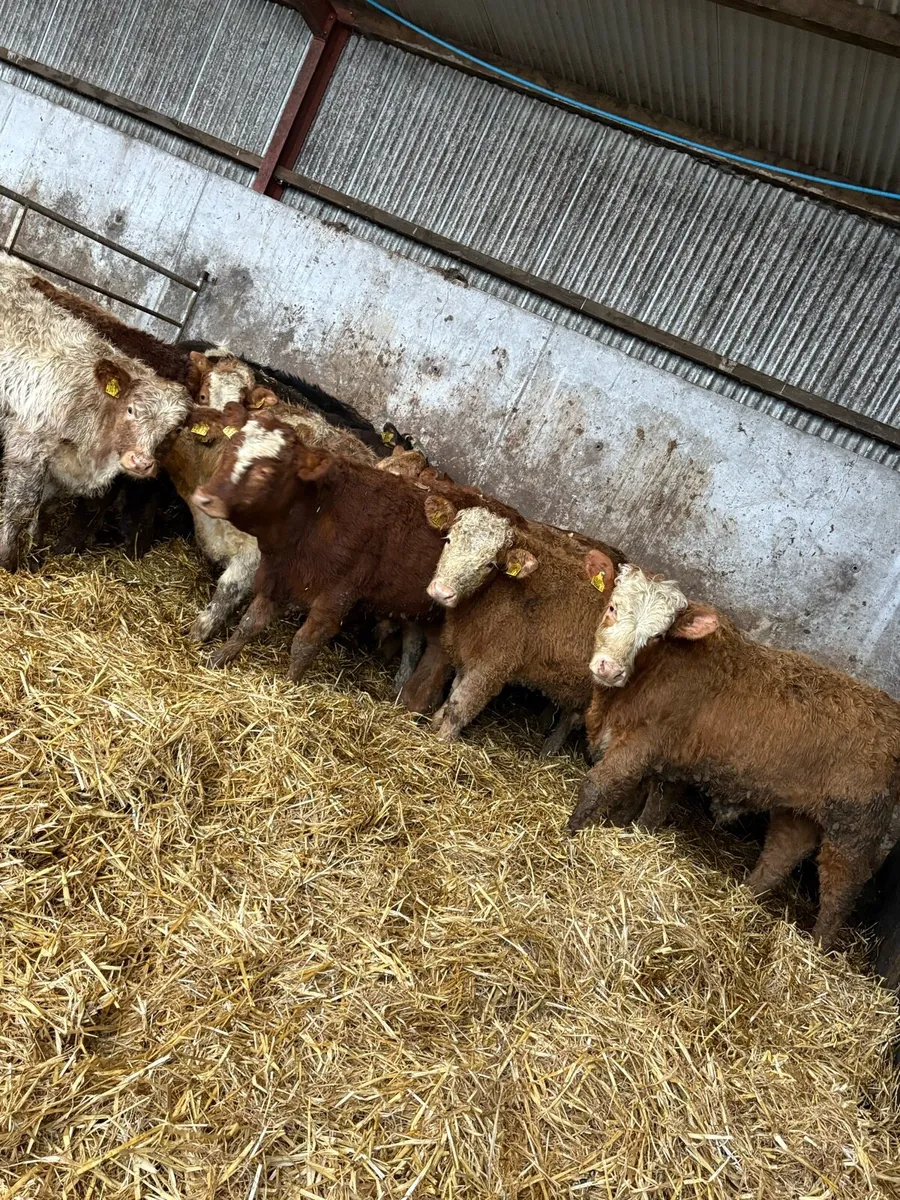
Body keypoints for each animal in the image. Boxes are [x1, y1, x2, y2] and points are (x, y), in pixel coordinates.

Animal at [0, 252, 189, 571]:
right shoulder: (28, 447)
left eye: (173, 431)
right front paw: (8, 561)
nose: (141, 462)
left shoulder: (58, 469)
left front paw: (36, 554)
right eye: (130, 409)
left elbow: (45, 509)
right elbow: (21, 508)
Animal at [189, 405, 526, 700]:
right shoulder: (279, 577)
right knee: (414, 641)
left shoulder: (337, 596)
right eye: (230, 450)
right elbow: (249, 623)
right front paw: (216, 659)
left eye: (265, 472)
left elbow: (304, 644)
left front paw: (287, 687)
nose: (205, 497)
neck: (315, 516)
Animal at [569, 563, 900, 949]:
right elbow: (646, 805)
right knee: (782, 852)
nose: (610, 669)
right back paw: (742, 897)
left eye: (656, 637)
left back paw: (816, 946)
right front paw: (622, 830)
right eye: (612, 607)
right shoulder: (663, 762)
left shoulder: (642, 744)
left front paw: (570, 834)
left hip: (855, 827)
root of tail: (891, 712)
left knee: (840, 888)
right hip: (800, 810)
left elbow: (599, 786)